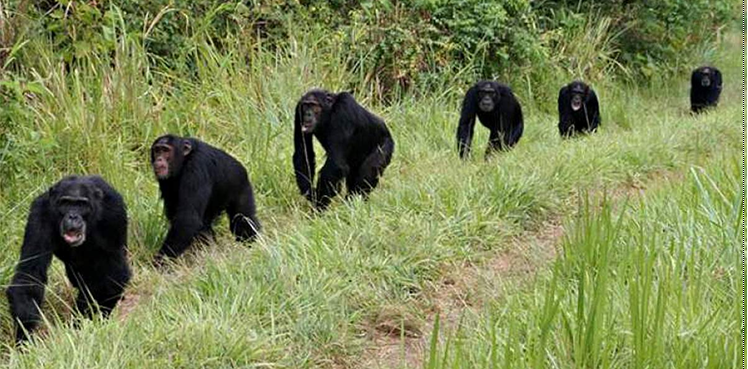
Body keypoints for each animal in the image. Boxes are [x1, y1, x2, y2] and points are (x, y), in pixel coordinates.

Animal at [5, 175, 131, 342]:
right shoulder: (39, 215)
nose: (72, 216)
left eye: (81, 204)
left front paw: (87, 323)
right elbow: (30, 274)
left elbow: (114, 275)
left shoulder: (113, 215)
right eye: (66, 203)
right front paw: (24, 335)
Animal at [150, 134, 262, 262]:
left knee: (242, 219)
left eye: (165, 150)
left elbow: (188, 219)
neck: (184, 160)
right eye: (157, 150)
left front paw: (160, 262)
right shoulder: (165, 181)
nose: (159, 159)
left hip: (241, 187)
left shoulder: (196, 168)